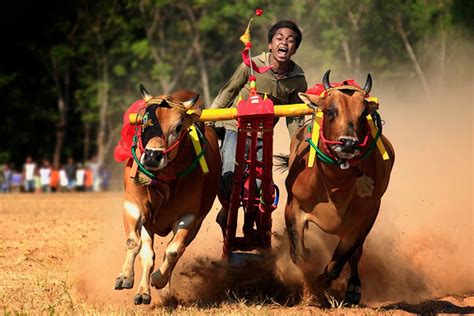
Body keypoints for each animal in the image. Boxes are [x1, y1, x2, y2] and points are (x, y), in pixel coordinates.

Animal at [115, 86, 220, 304]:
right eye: (145, 122)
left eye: (178, 127)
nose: (152, 156)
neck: (163, 182)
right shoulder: (133, 206)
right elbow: (134, 243)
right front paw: (125, 276)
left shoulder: (189, 217)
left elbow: (173, 251)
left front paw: (159, 280)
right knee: (148, 254)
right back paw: (142, 292)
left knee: (176, 251)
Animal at [280, 71, 394, 304]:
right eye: (330, 110)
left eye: (363, 114)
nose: (348, 143)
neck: (334, 186)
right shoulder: (294, 207)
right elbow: (299, 255)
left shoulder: (361, 221)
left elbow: (339, 261)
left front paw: (321, 282)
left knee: (356, 255)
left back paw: (354, 287)